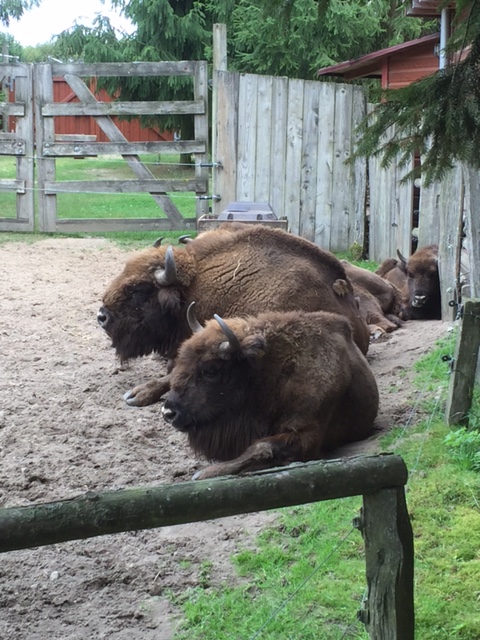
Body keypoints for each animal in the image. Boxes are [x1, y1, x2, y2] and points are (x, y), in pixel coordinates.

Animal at [161, 306, 378, 480]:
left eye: (211, 370)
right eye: (180, 361)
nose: (169, 413)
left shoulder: (307, 433)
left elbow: (261, 447)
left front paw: (202, 474)